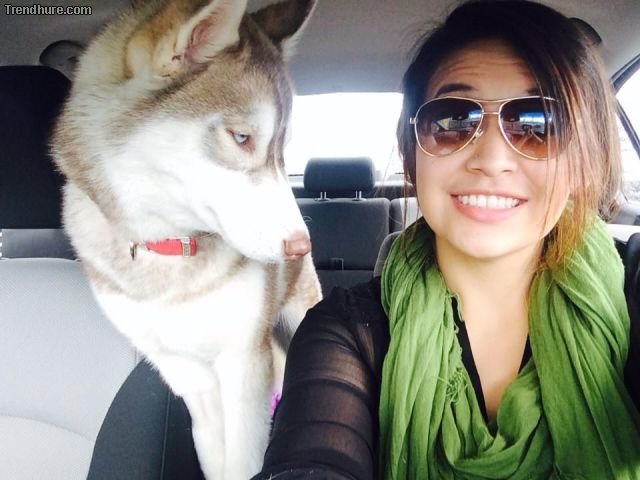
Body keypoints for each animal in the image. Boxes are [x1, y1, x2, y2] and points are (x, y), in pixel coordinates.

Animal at [51, 0, 321, 478]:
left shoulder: (243, 362)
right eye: (241, 137)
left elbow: (245, 460)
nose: (300, 245)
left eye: (283, 147)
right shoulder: (185, 373)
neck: (169, 250)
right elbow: (215, 453)